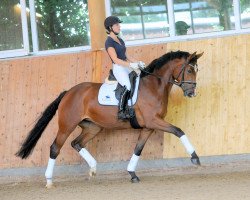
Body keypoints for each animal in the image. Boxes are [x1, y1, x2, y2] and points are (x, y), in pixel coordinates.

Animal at [16, 50, 203, 188]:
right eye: (189, 70)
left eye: (196, 70)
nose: (192, 93)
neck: (153, 86)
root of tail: (68, 92)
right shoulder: (153, 121)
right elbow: (178, 131)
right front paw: (195, 158)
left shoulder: (148, 127)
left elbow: (138, 149)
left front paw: (132, 174)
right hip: (66, 125)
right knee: (55, 147)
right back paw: (49, 181)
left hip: (93, 127)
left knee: (76, 143)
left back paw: (93, 168)